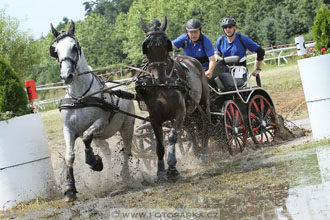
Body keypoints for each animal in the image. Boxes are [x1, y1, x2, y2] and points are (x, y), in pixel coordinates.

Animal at [49, 21, 135, 202]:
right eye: (55, 50)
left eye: (74, 47)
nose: (66, 76)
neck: (79, 97)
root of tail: (124, 88)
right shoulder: (68, 129)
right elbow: (69, 155)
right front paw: (70, 188)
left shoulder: (100, 123)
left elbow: (86, 137)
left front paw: (94, 162)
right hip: (100, 137)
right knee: (107, 151)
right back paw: (108, 176)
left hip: (127, 127)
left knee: (127, 150)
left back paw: (124, 174)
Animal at [137, 16, 211, 180]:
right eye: (147, 47)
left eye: (166, 44)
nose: (160, 77)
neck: (162, 87)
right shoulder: (154, 118)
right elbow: (159, 144)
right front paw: (160, 171)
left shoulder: (178, 113)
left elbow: (171, 137)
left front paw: (172, 167)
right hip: (189, 113)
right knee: (191, 129)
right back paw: (196, 151)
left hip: (203, 104)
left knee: (205, 124)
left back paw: (204, 152)